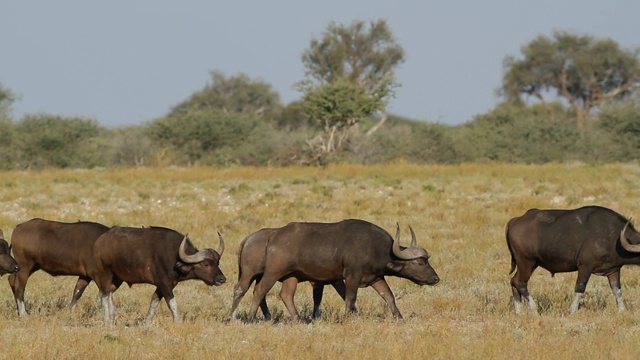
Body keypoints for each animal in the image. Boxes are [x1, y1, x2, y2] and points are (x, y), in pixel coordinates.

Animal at [93, 225, 225, 324]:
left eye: (218, 262)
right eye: (206, 264)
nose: (222, 279)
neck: (175, 257)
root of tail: (101, 240)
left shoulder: (163, 286)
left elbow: (154, 302)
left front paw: (147, 323)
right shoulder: (164, 284)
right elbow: (172, 303)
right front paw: (178, 322)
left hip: (117, 279)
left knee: (108, 294)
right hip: (106, 273)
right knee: (104, 294)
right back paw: (107, 321)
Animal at [246, 218, 440, 320]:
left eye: (427, 260)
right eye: (420, 263)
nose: (436, 278)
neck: (375, 248)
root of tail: (274, 236)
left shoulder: (376, 278)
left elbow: (389, 296)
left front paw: (399, 317)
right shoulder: (352, 275)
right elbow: (350, 298)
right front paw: (347, 317)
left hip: (290, 276)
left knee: (285, 295)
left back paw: (298, 319)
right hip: (273, 272)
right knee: (259, 290)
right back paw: (251, 317)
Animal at [508, 207, 640, 314]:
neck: (613, 237)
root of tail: (514, 221)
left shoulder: (613, 270)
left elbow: (617, 290)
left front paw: (622, 311)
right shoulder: (585, 267)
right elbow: (580, 287)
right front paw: (573, 310)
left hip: (527, 264)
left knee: (513, 281)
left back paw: (519, 311)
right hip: (526, 262)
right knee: (520, 283)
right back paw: (534, 308)